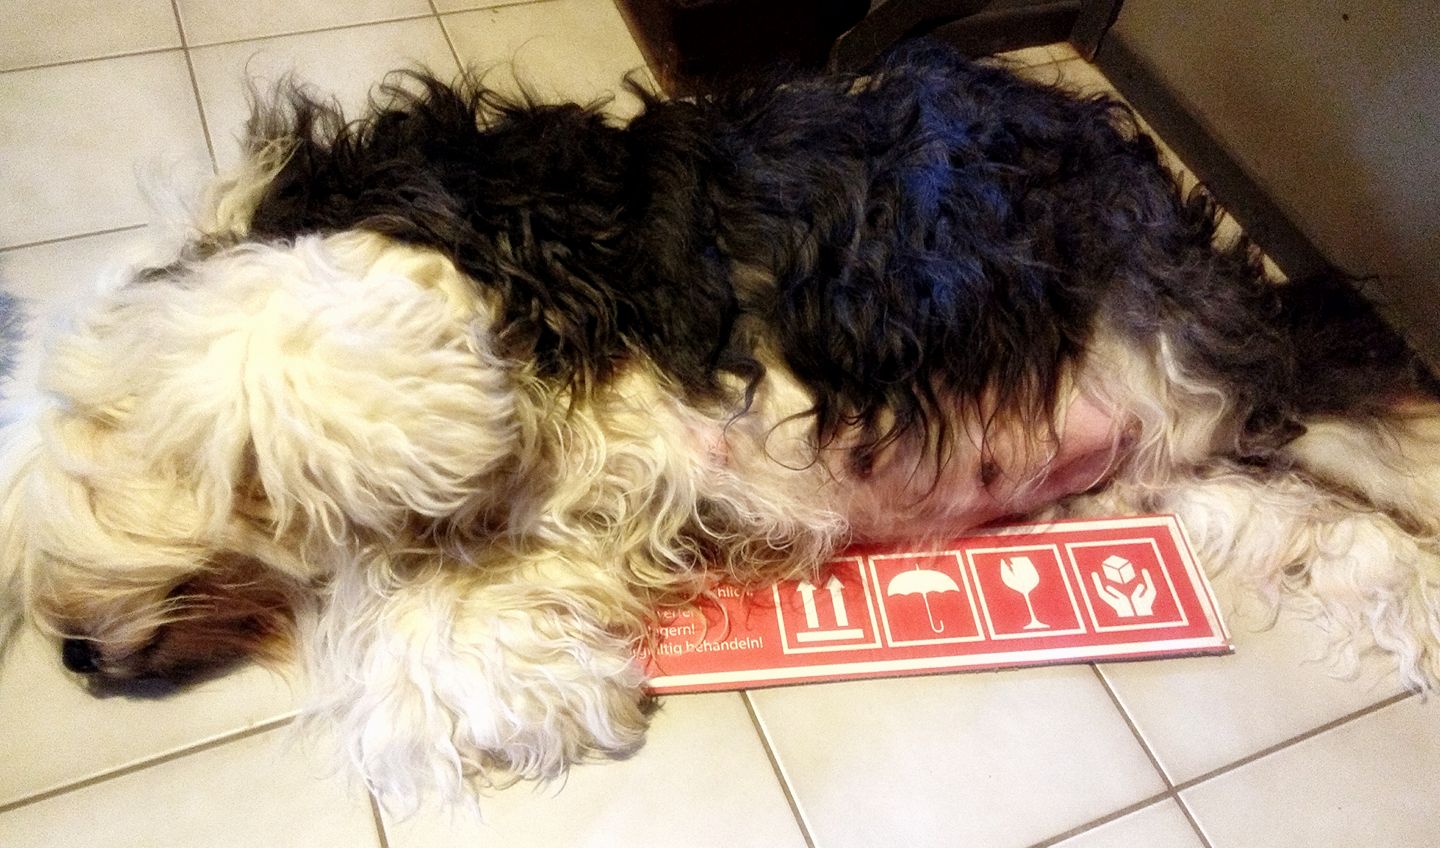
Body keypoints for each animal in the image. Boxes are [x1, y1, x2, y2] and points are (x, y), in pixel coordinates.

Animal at [2, 42, 1438, 810]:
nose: (72, 656)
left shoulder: (422, 229)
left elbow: (275, 329)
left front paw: (419, 420)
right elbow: (436, 632)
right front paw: (538, 676)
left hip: (1203, 336)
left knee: (1388, 409)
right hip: (1194, 465)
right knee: (1350, 533)